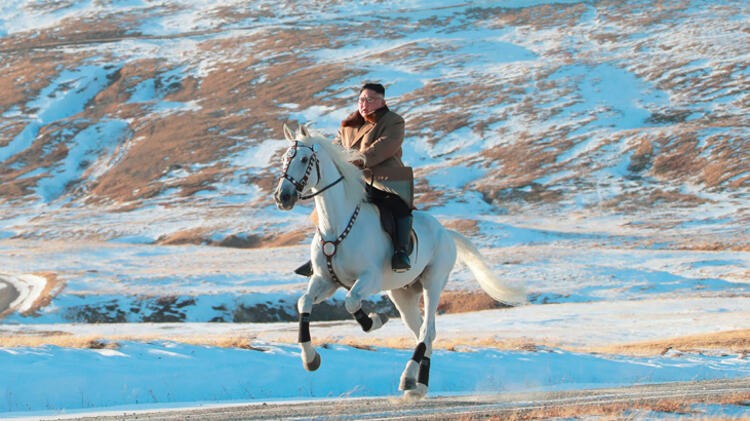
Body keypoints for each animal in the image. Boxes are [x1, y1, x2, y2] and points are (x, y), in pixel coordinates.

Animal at [274, 123, 524, 398]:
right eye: (284, 159)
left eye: (304, 159)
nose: (282, 197)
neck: (337, 225)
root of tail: (446, 232)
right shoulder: (325, 280)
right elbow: (304, 302)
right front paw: (310, 359)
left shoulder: (369, 279)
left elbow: (351, 302)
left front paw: (374, 321)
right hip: (402, 294)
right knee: (423, 333)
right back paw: (418, 385)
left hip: (432, 283)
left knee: (427, 331)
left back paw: (408, 378)